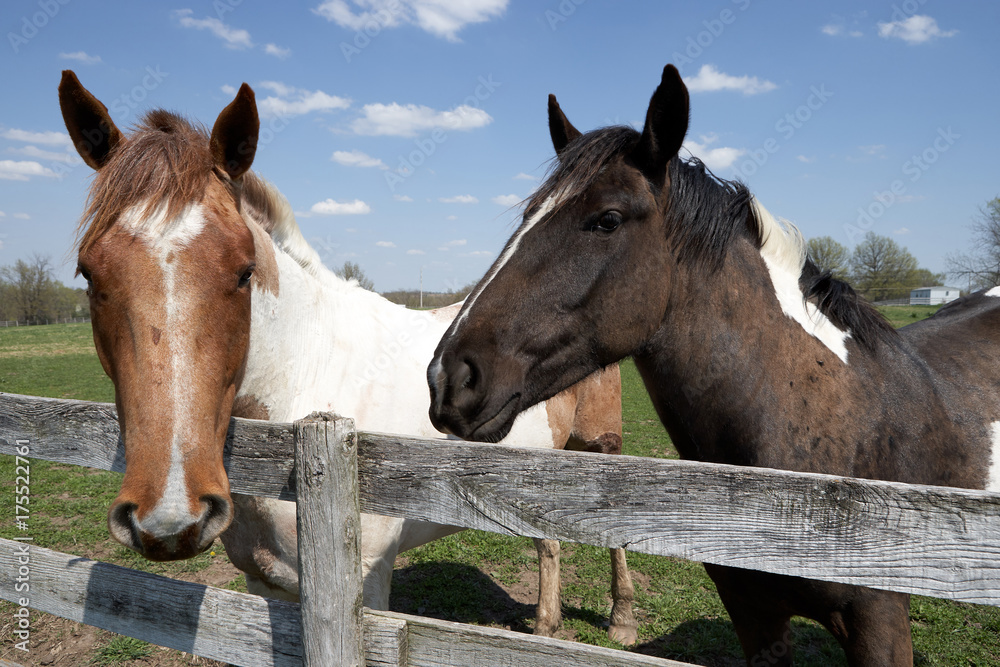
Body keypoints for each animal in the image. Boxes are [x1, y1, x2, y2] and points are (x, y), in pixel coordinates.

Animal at [57, 70, 638, 644]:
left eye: (244, 272)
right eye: (89, 273)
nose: (171, 516)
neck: (304, 377)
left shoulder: (366, 583)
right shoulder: (264, 581)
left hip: (600, 448)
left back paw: (622, 621)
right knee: (548, 543)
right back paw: (546, 625)